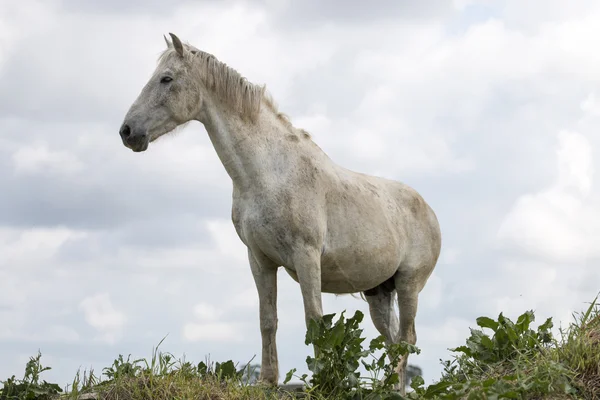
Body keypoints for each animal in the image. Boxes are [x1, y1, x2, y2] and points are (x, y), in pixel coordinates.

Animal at [119, 33, 442, 394]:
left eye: (166, 79)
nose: (127, 132)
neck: (270, 172)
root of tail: (428, 209)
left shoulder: (307, 257)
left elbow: (314, 320)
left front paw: (322, 381)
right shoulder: (259, 259)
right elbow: (267, 319)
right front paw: (267, 380)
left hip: (408, 285)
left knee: (406, 338)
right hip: (379, 293)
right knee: (392, 339)